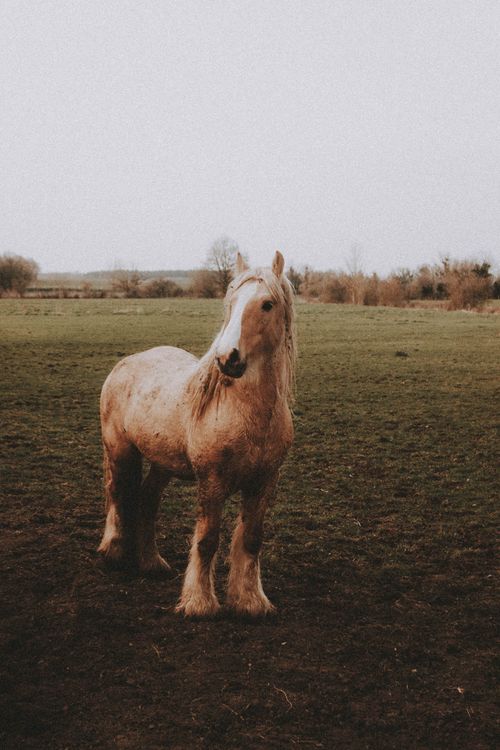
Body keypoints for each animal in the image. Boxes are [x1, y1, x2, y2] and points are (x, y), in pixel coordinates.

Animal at [98, 251, 296, 617]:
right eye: (231, 302)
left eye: (267, 304)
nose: (228, 358)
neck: (245, 410)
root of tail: (127, 363)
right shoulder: (212, 482)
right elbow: (207, 541)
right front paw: (199, 602)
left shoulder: (264, 481)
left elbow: (251, 539)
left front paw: (250, 601)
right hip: (120, 450)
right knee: (117, 493)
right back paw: (113, 553)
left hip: (162, 464)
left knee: (147, 500)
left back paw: (151, 563)